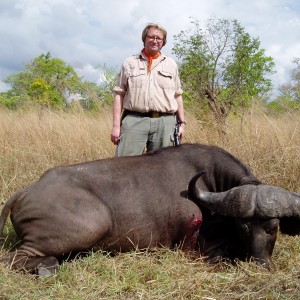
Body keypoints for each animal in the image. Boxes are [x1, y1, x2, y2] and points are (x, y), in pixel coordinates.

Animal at [0, 144, 300, 276]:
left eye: (273, 227)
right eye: (242, 226)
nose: (260, 264)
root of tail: (28, 190)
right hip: (90, 226)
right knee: (14, 258)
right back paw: (47, 268)